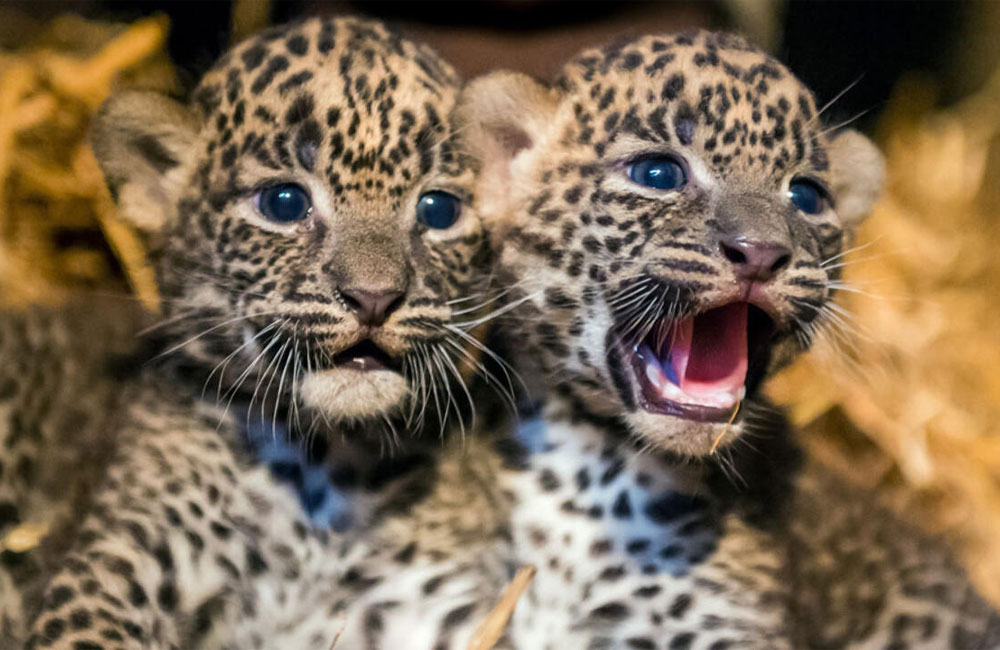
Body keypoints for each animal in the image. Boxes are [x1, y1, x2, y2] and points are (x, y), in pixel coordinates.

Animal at [8, 16, 514, 650]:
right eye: (284, 202)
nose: (374, 297)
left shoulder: (432, 604)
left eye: (439, 210)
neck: (327, 468)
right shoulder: (111, 573)